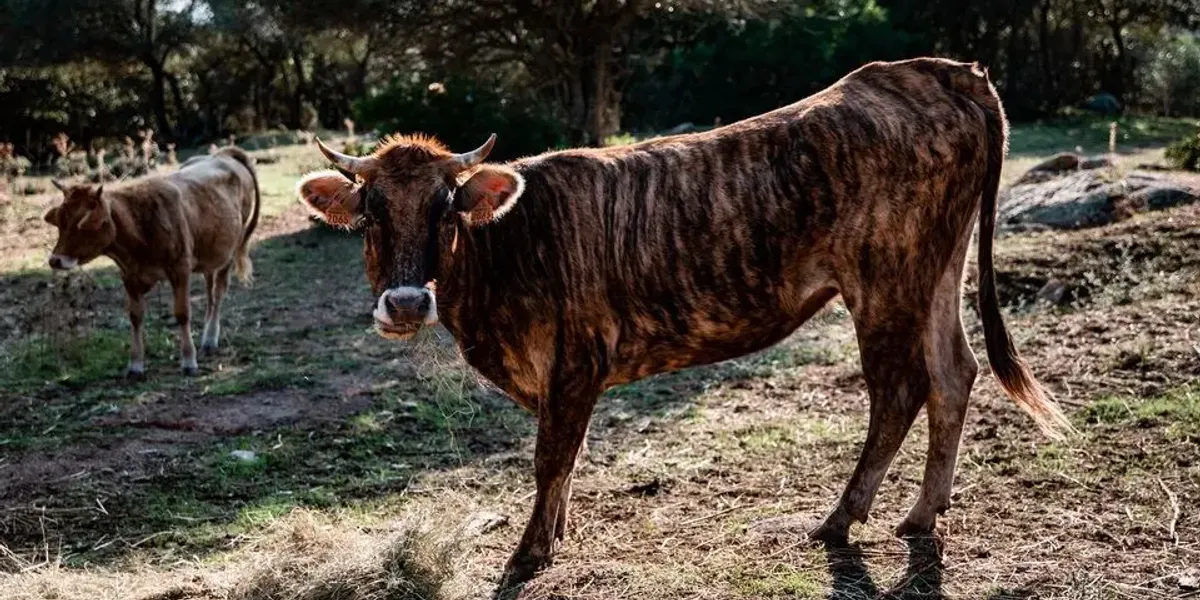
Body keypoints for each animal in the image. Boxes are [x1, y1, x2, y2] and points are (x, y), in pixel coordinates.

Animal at [44, 147, 260, 378]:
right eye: (61, 221)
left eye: (84, 224)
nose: (55, 260)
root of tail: (222, 155)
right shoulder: (129, 276)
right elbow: (135, 316)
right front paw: (136, 364)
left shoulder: (180, 269)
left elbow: (182, 313)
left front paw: (188, 360)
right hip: (210, 251)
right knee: (210, 291)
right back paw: (207, 337)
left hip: (230, 250)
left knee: (218, 293)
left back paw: (210, 338)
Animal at [296, 58, 1072, 589]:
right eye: (370, 212)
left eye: (446, 209)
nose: (405, 304)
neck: (511, 245)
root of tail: (933, 71)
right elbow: (567, 456)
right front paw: (558, 531)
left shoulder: (575, 359)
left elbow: (551, 456)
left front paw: (529, 552)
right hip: (936, 269)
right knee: (953, 373)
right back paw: (921, 514)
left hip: (885, 278)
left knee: (899, 391)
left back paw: (839, 520)